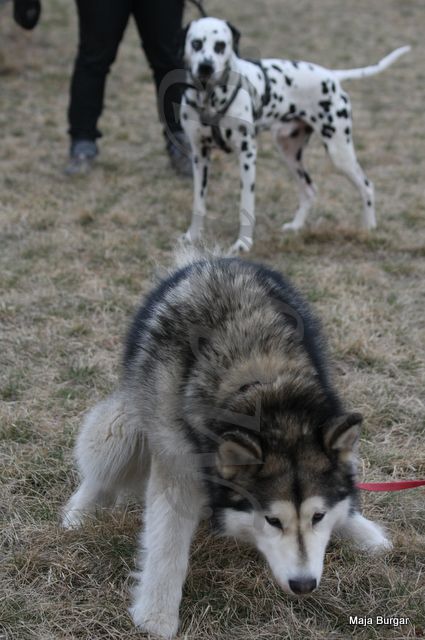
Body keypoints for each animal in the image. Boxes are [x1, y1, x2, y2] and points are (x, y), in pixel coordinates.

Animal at [61, 251, 390, 640]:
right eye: (272, 520)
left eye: (318, 517)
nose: (304, 585)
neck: (263, 390)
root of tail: (209, 259)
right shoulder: (177, 464)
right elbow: (167, 544)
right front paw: (157, 615)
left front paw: (359, 529)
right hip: (126, 422)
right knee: (102, 470)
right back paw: (78, 514)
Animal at [179, 17, 408, 252]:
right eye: (196, 43)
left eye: (220, 45)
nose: (206, 67)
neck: (210, 99)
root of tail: (332, 75)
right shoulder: (199, 156)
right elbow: (198, 203)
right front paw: (192, 236)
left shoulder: (247, 155)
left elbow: (246, 204)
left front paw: (243, 244)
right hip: (289, 153)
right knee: (309, 190)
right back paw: (297, 226)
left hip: (339, 153)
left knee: (367, 186)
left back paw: (369, 228)